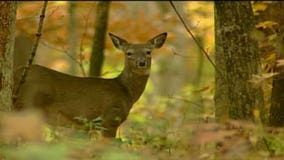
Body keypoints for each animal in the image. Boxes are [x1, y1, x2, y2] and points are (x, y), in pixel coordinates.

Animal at [13, 32, 168, 138]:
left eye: (148, 52)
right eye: (129, 53)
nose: (141, 62)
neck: (127, 92)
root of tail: (16, 73)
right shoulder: (110, 119)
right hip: (29, 104)